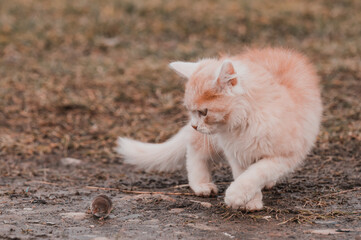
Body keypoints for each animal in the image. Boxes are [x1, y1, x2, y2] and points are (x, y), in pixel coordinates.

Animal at [116, 47, 322, 211]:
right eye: (191, 111)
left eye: (203, 112)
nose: (194, 125)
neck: (246, 121)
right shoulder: (236, 153)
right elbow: (243, 173)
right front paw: (250, 201)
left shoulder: (286, 155)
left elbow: (258, 171)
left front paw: (239, 195)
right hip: (208, 140)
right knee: (195, 154)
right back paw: (202, 185)